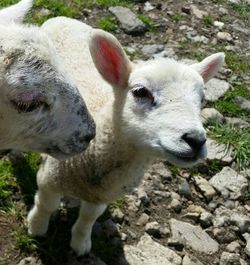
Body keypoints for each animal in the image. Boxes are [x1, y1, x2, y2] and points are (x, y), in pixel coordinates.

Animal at [27, 16, 225, 254]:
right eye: (140, 92)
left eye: (202, 100)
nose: (196, 140)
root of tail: (62, 18)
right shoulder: (50, 177)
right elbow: (46, 205)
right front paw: (36, 227)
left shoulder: (102, 195)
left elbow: (88, 218)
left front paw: (80, 243)